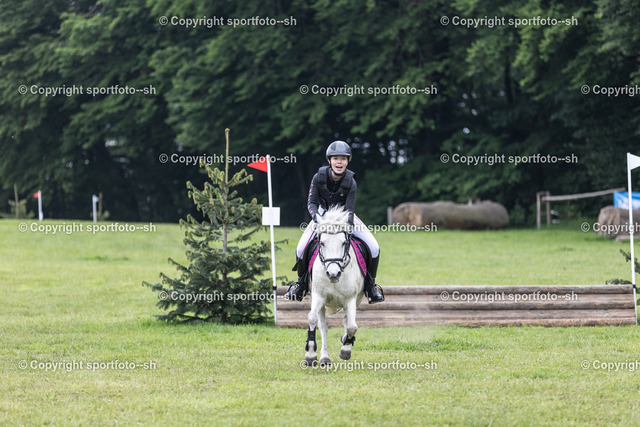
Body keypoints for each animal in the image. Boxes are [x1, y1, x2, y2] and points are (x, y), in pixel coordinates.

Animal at [304, 205, 365, 366]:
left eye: (343, 243)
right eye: (322, 243)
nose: (333, 274)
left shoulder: (351, 299)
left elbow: (352, 326)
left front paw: (345, 349)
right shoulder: (318, 296)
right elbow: (312, 319)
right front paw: (310, 355)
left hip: (357, 299)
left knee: (347, 320)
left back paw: (346, 344)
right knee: (323, 325)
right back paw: (325, 357)